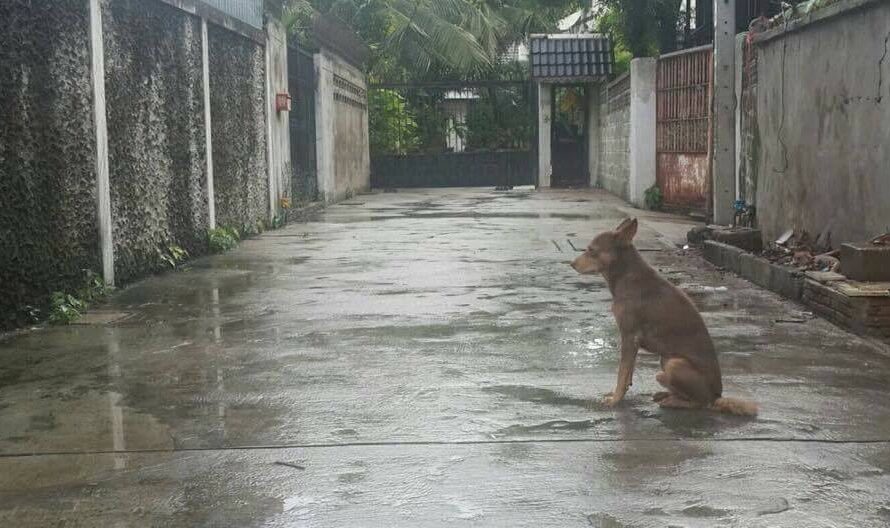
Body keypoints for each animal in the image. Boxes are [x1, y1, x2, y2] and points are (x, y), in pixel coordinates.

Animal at [568, 219, 756, 416]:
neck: (626, 275)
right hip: (665, 360)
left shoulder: (629, 337)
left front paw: (615, 400)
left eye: (592, 250)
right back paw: (665, 395)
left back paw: (672, 401)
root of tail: (716, 396)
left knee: (699, 403)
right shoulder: (632, 342)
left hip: (674, 364)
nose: (572, 264)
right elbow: (628, 373)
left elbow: (622, 372)